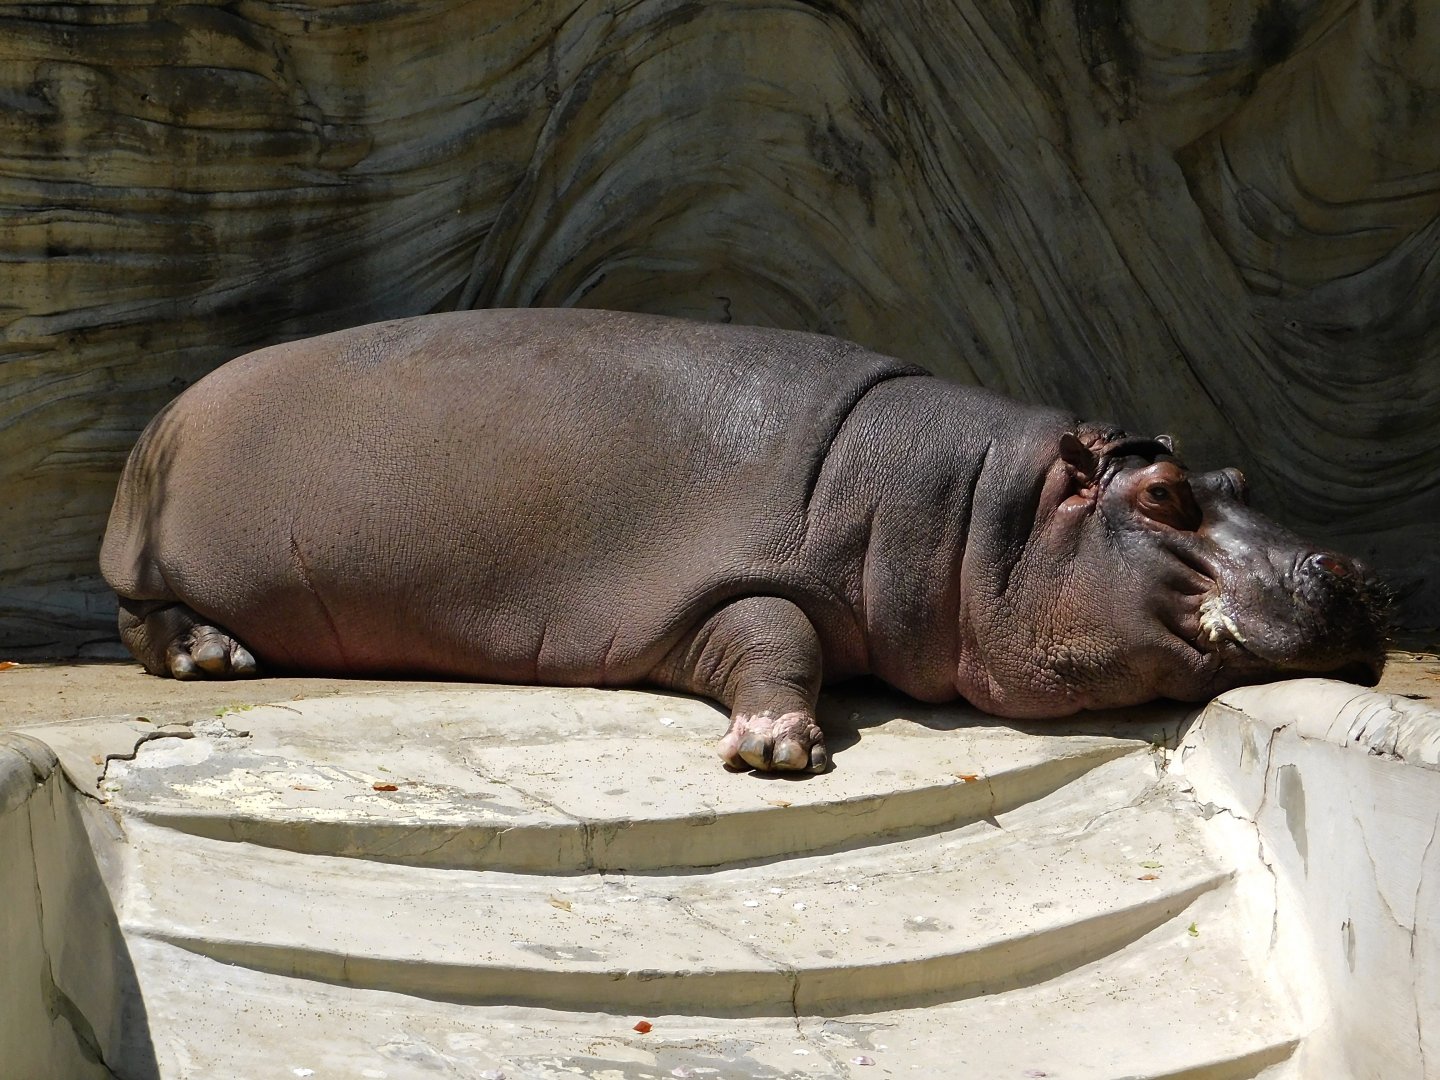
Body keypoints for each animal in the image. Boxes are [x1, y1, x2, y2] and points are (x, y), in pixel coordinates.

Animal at [101, 308, 1388, 772]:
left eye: (1235, 475)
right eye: (1165, 494)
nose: (1357, 569)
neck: (983, 511)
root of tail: (161, 417)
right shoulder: (728, 581)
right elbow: (777, 639)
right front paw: (776, 750)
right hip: (155, 554)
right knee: (137, 620)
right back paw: (216, 657)